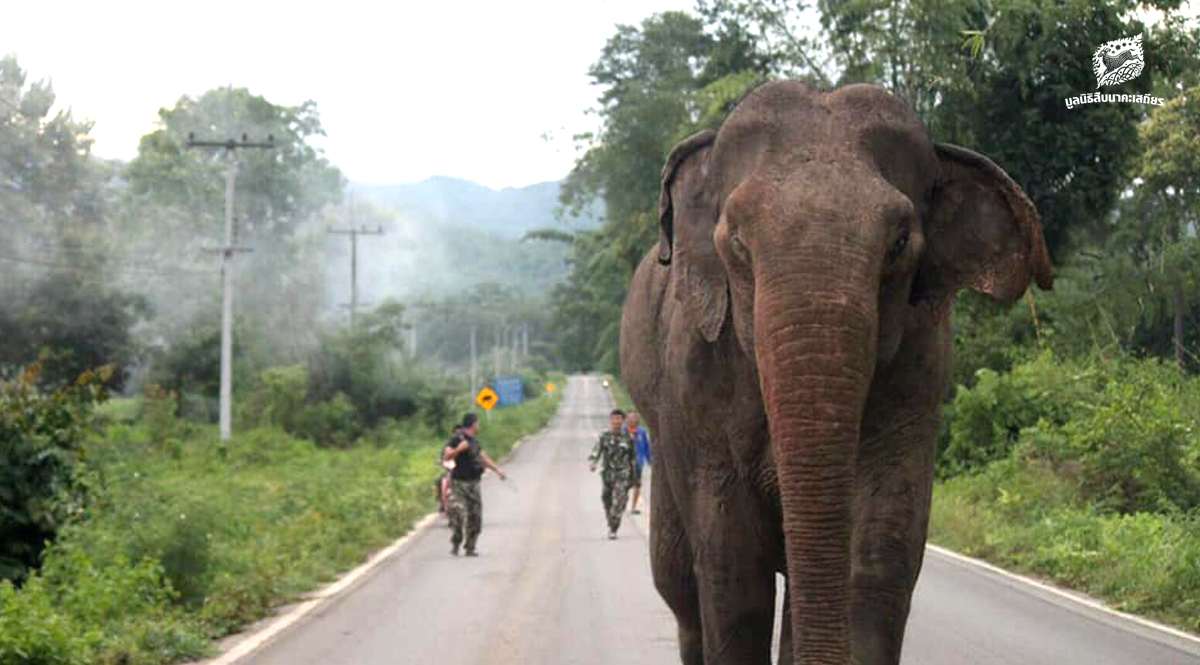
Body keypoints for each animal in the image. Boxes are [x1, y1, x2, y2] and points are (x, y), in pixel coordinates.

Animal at [619, 79, 1051, 662]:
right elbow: (733, 571)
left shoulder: (921, 364)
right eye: (737, 242)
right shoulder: (694, 374)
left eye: (899, 244)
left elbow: (879, 554)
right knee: (679, 586)